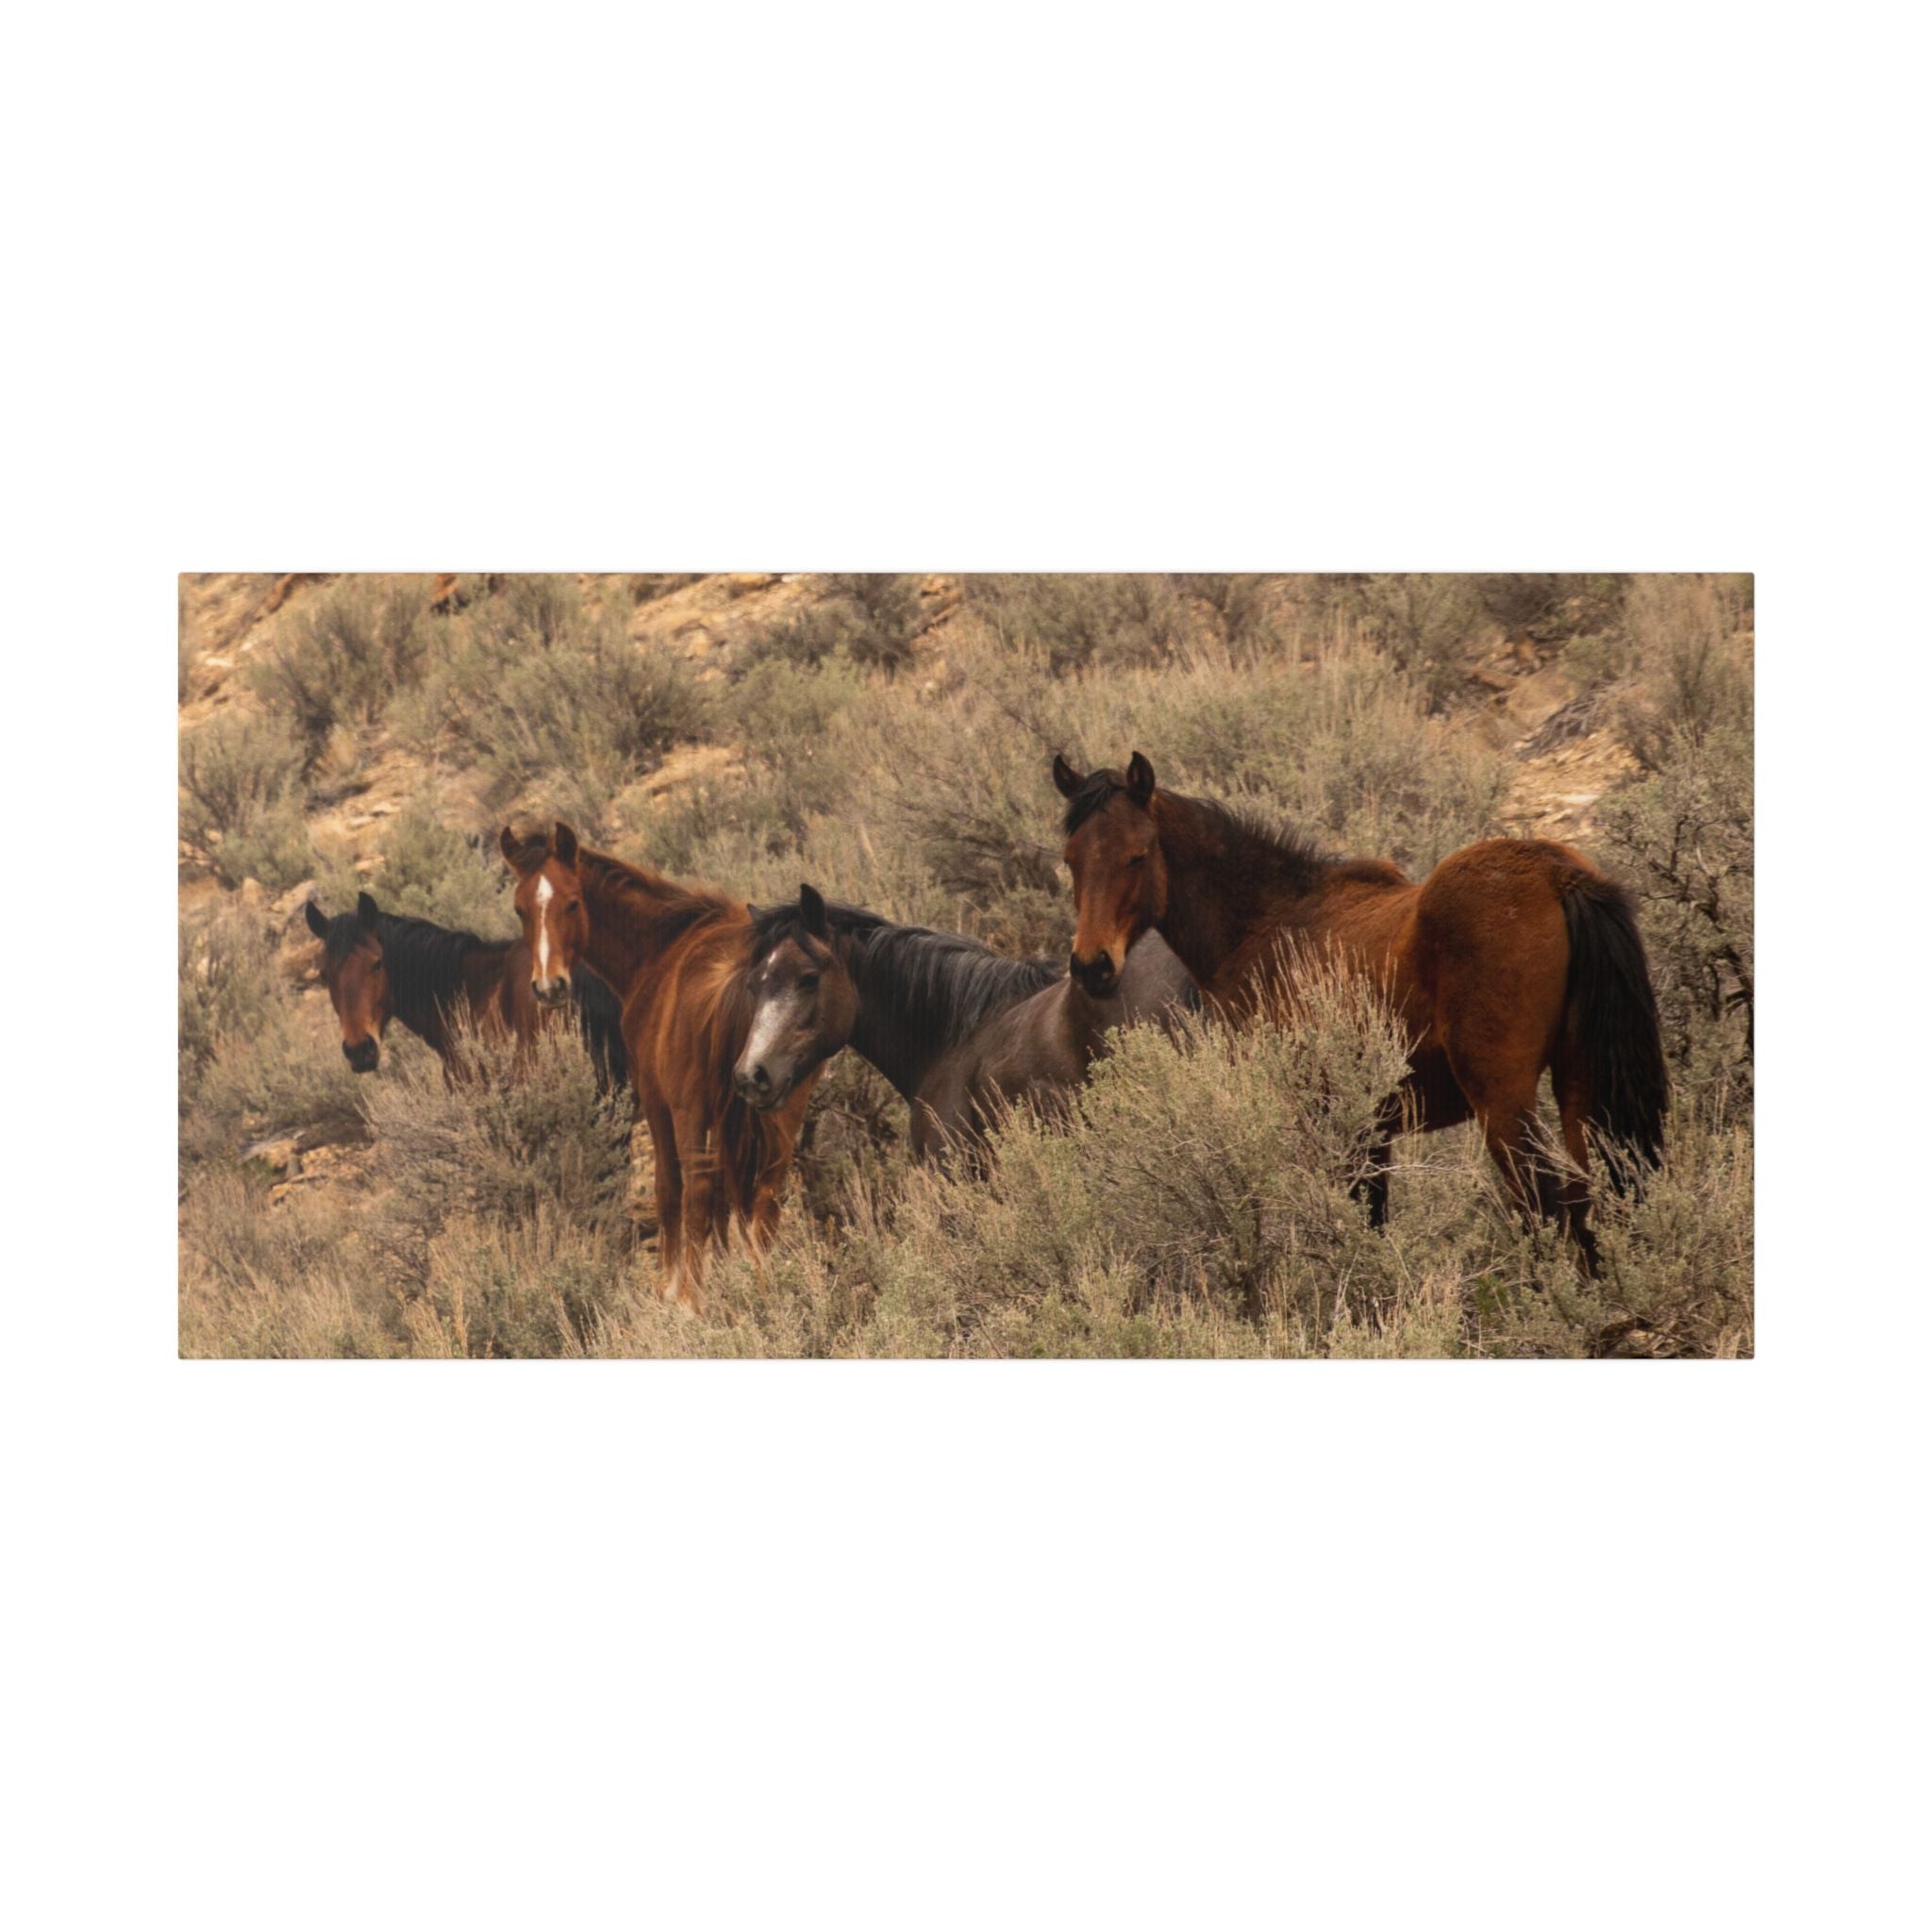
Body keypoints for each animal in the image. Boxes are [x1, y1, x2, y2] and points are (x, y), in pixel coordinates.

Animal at [500, 821, 815, 1310]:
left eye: (572, 902)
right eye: (520, 910)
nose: (550, 988)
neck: (660, 947)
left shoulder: (655, 1098)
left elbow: (671, 1190)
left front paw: (671, 1285)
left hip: (691, 1110)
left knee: (697, 1191)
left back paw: (690, 1298)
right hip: (783, 1108)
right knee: (766, 1191)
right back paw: (766, 1281)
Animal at [1052, 752, 1668, 1272]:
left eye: (1137, 855)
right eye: (1071, 861)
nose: (1091, 967)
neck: (1266, 925)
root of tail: (1558, 875)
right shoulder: (1370, 1131)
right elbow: (1371, 1223)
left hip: (1504, 1103)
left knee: (1549, 1210)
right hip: (1578, 1089)